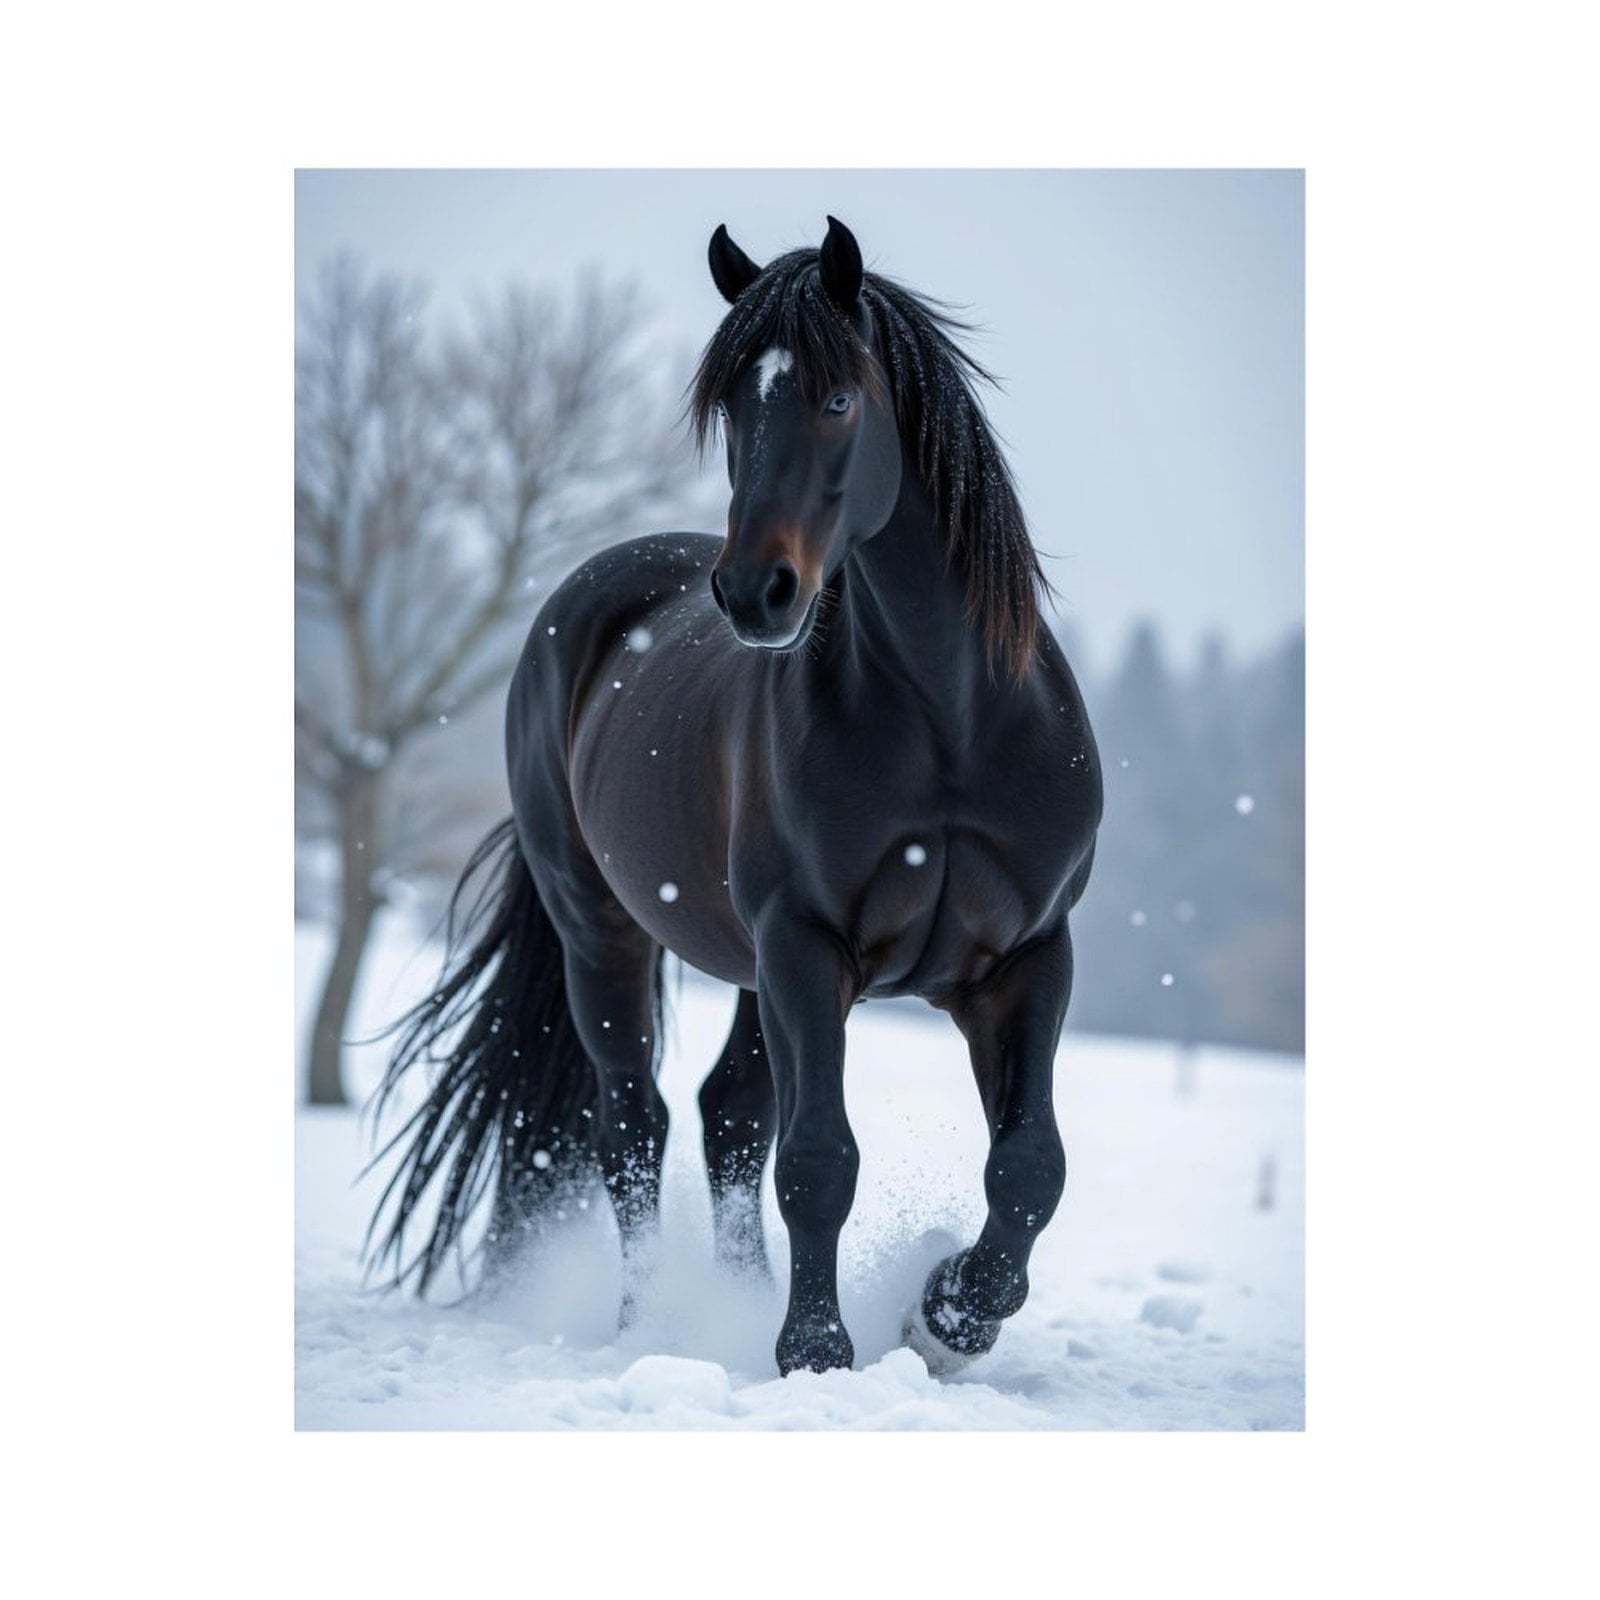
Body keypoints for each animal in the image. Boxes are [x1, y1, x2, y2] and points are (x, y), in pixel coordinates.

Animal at [366, 216, 1103, 1377]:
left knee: (728, 1119)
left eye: (839, 399)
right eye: (731, 412)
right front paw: (817, 1350)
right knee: (636, 1124)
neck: (951, 724)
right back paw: (655, 1325)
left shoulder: (1026, 958)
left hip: (755, 969)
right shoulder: (807, 946)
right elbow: (819, 1160)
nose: (755, 593)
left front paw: (946, 1315)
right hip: (607, 936)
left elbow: (1030, 1167)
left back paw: (738, 1302)